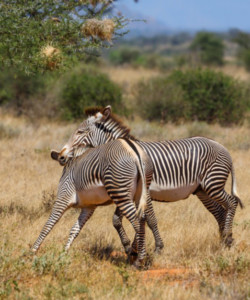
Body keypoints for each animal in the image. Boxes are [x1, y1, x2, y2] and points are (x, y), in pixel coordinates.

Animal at [31, 138, 154, 268]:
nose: (61, 157)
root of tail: (134, 151)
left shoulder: (63, 196)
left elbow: (49, 224)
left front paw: (33, 250)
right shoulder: (89, 206)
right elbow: (75, 229)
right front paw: (64, 253)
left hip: (121, 193)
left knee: (137, 220)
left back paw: (139, 260)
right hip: (140, 191)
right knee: (143, 218)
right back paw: (137, 255)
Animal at [53, 104, 244, 250]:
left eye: (79, 132)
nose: (60, 156)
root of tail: (221, 146)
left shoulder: (145, 193)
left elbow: (149, 220)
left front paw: (156, 247)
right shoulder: (126, 192)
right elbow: (117, 220)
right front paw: (130, 246)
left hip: (213, 184)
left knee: (231, 203)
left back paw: (227, 238)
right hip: (202, 190)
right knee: (220, 211)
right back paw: (223, 241)